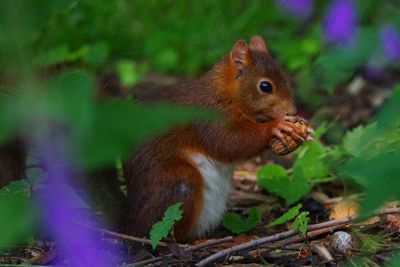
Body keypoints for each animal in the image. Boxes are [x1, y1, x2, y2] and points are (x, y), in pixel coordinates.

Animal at [122, 36, 306, 243]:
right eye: (265, 86)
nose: (292, 111)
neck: (225, 94)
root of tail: (130, 221)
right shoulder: (208, 118)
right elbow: (229, 143)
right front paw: (276, 126)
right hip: (178, 184)